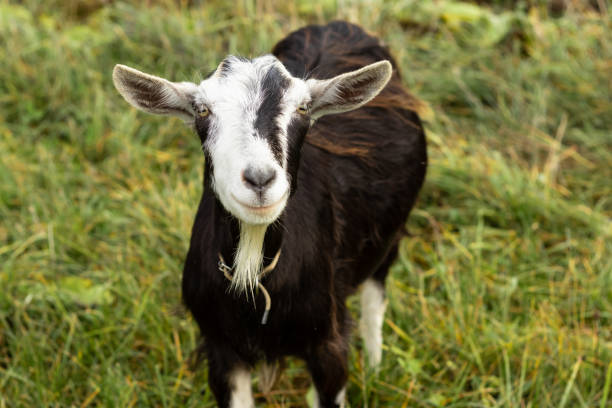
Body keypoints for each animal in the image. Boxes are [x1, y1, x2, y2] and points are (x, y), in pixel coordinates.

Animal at [111, 21, 426, 408]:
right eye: (202, 110)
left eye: (303, 108)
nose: (260, 179)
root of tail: (339, 26)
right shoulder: (221, 350)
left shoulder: (328, 345)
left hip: (388, 239)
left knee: (375, 298)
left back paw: (376, 367)